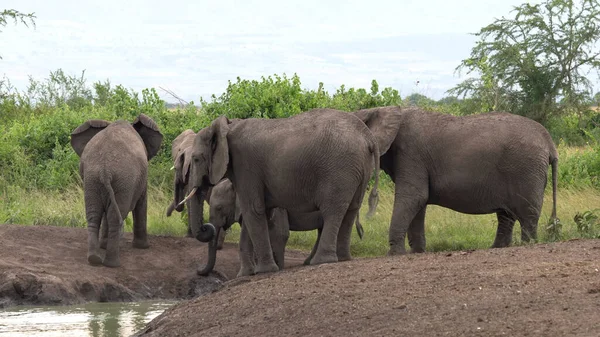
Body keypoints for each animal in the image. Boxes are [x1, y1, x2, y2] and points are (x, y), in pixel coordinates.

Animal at [70, 114, 163, 266]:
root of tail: (105, 169)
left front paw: (103, 245)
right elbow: (141, 203)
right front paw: (143, 247)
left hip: (93, 179)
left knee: (94, 215)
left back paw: (94, 258)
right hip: (124, 181)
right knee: (114, 216)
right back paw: (112, 264)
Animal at [198, 176, 366, 276]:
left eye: (219, 208)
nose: (199, 270)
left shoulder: (276, 208)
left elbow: (279, 234)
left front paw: (278, 268)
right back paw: (308, 262)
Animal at [354, 106, 560, 253]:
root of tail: (549, 142)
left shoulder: (411, 154)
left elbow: (414, 197)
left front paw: (396, 254)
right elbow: (418, 202)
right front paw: (417, 252)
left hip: (526, 169)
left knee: (527, 215)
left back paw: (526, 245)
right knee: (506, 214)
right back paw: (496, 248)